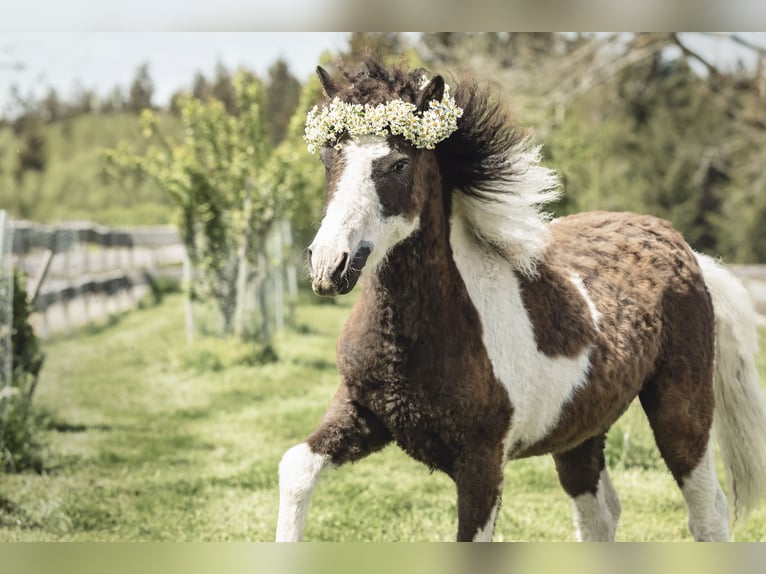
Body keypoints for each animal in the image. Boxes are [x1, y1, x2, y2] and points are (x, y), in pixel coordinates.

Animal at [276, 56, 766, 544]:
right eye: (328, 156)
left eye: (398, 164)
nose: (329, 265)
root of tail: (687, 252)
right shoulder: (361, 412)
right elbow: (295, 468)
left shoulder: (482, 463)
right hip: (580, 432)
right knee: (601, 514)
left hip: (681, 405)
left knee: (707, 511)